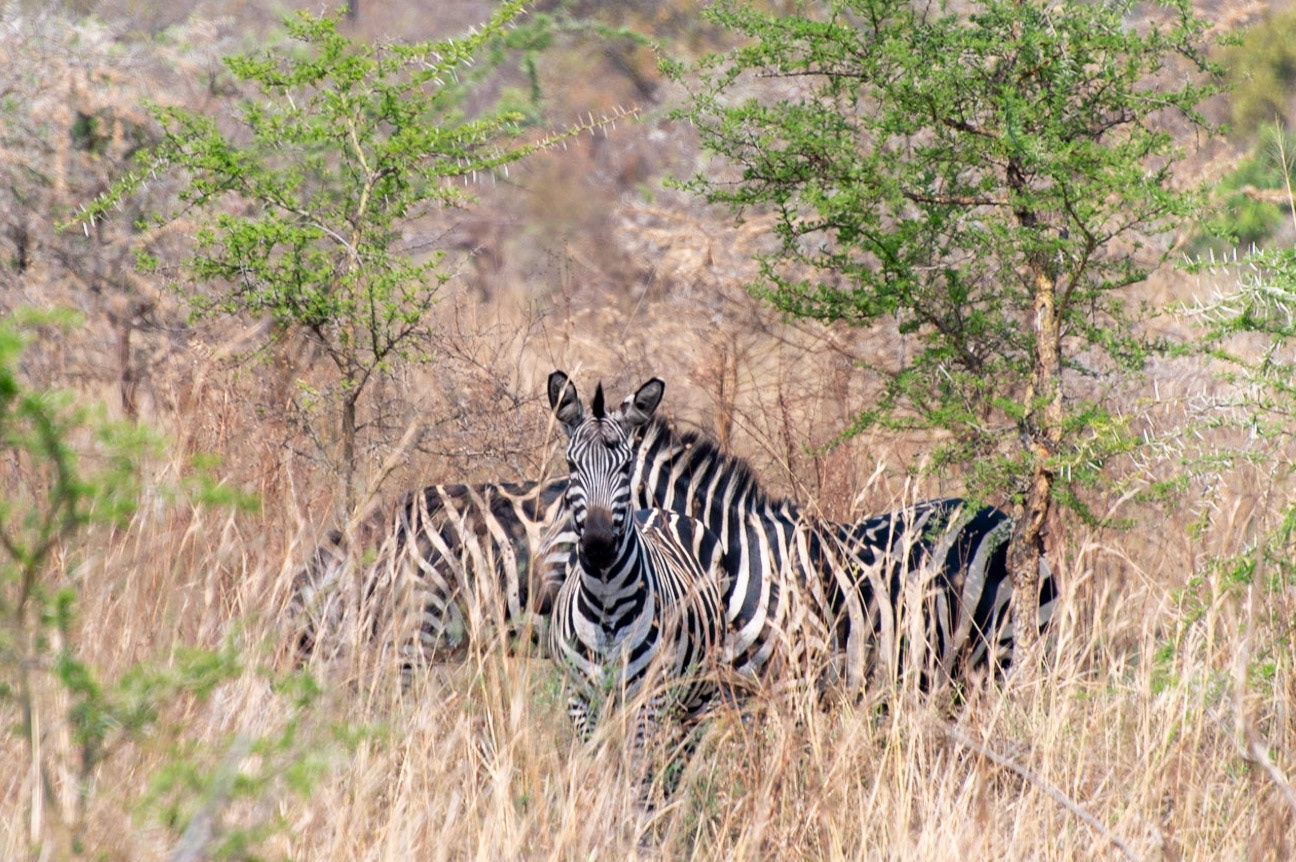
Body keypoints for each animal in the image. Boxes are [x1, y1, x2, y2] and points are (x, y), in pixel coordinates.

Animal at [545, 373, 730, 757]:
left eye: (626, 466)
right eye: (571, 466)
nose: (598, 546)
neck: (606, 603)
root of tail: (660, 512)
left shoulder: (649, 699)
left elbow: (637, 766)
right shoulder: (580, 699)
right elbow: (597, 761)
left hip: (696, 693)